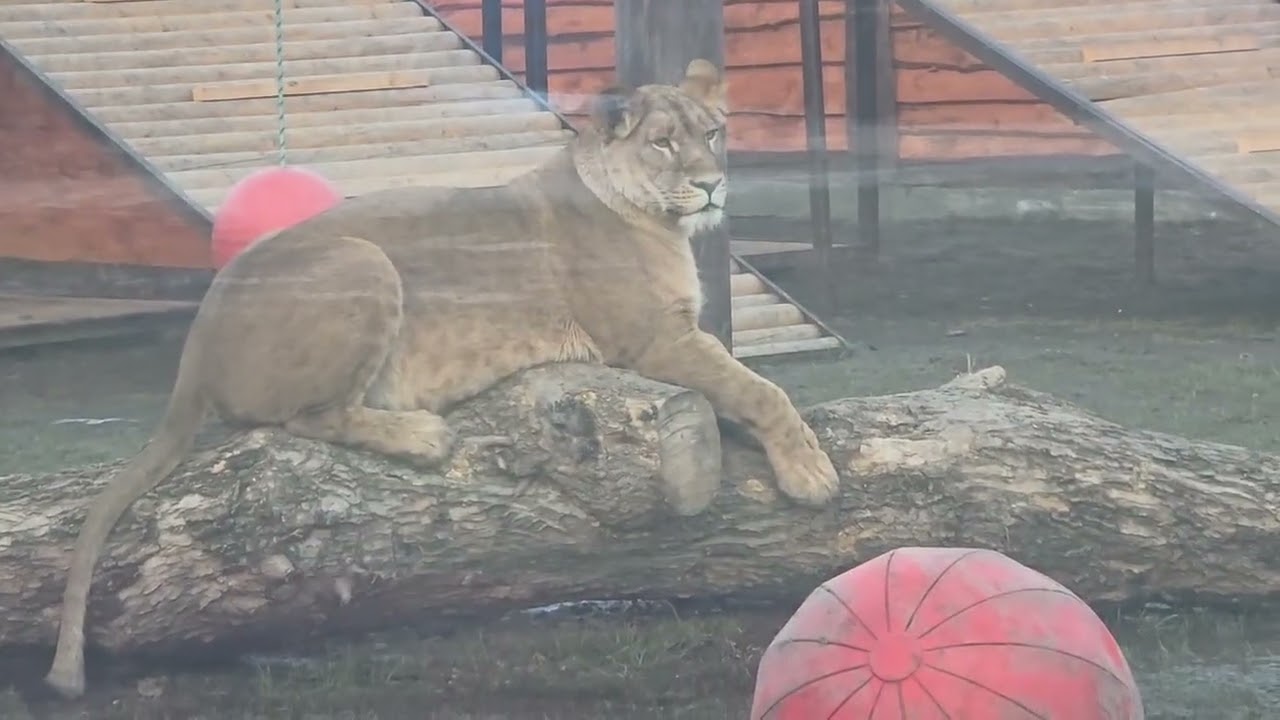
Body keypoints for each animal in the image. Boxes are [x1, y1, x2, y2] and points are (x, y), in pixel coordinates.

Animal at [42, 59, 840, 698]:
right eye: (664, 142)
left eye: (715, 134)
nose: (711, 187)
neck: (657, 220)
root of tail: (196, 342)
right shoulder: (651, 340)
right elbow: (761, 389)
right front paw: (812, 473)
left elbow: (742, 389)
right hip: (362, 260)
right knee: (308, 417)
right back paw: (422, 436)